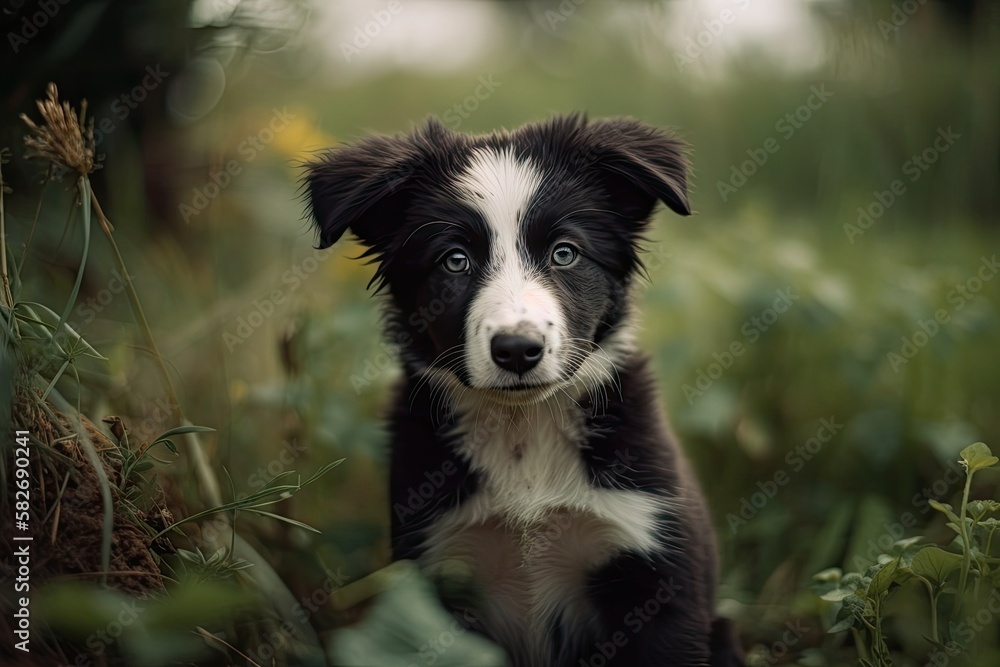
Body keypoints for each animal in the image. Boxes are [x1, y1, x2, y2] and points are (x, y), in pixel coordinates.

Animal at [304, 116, 744, 667]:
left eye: (565, 253)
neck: (524, 429)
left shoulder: (656, 569)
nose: (517, 350)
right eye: (454, 261)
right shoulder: (437, 574)